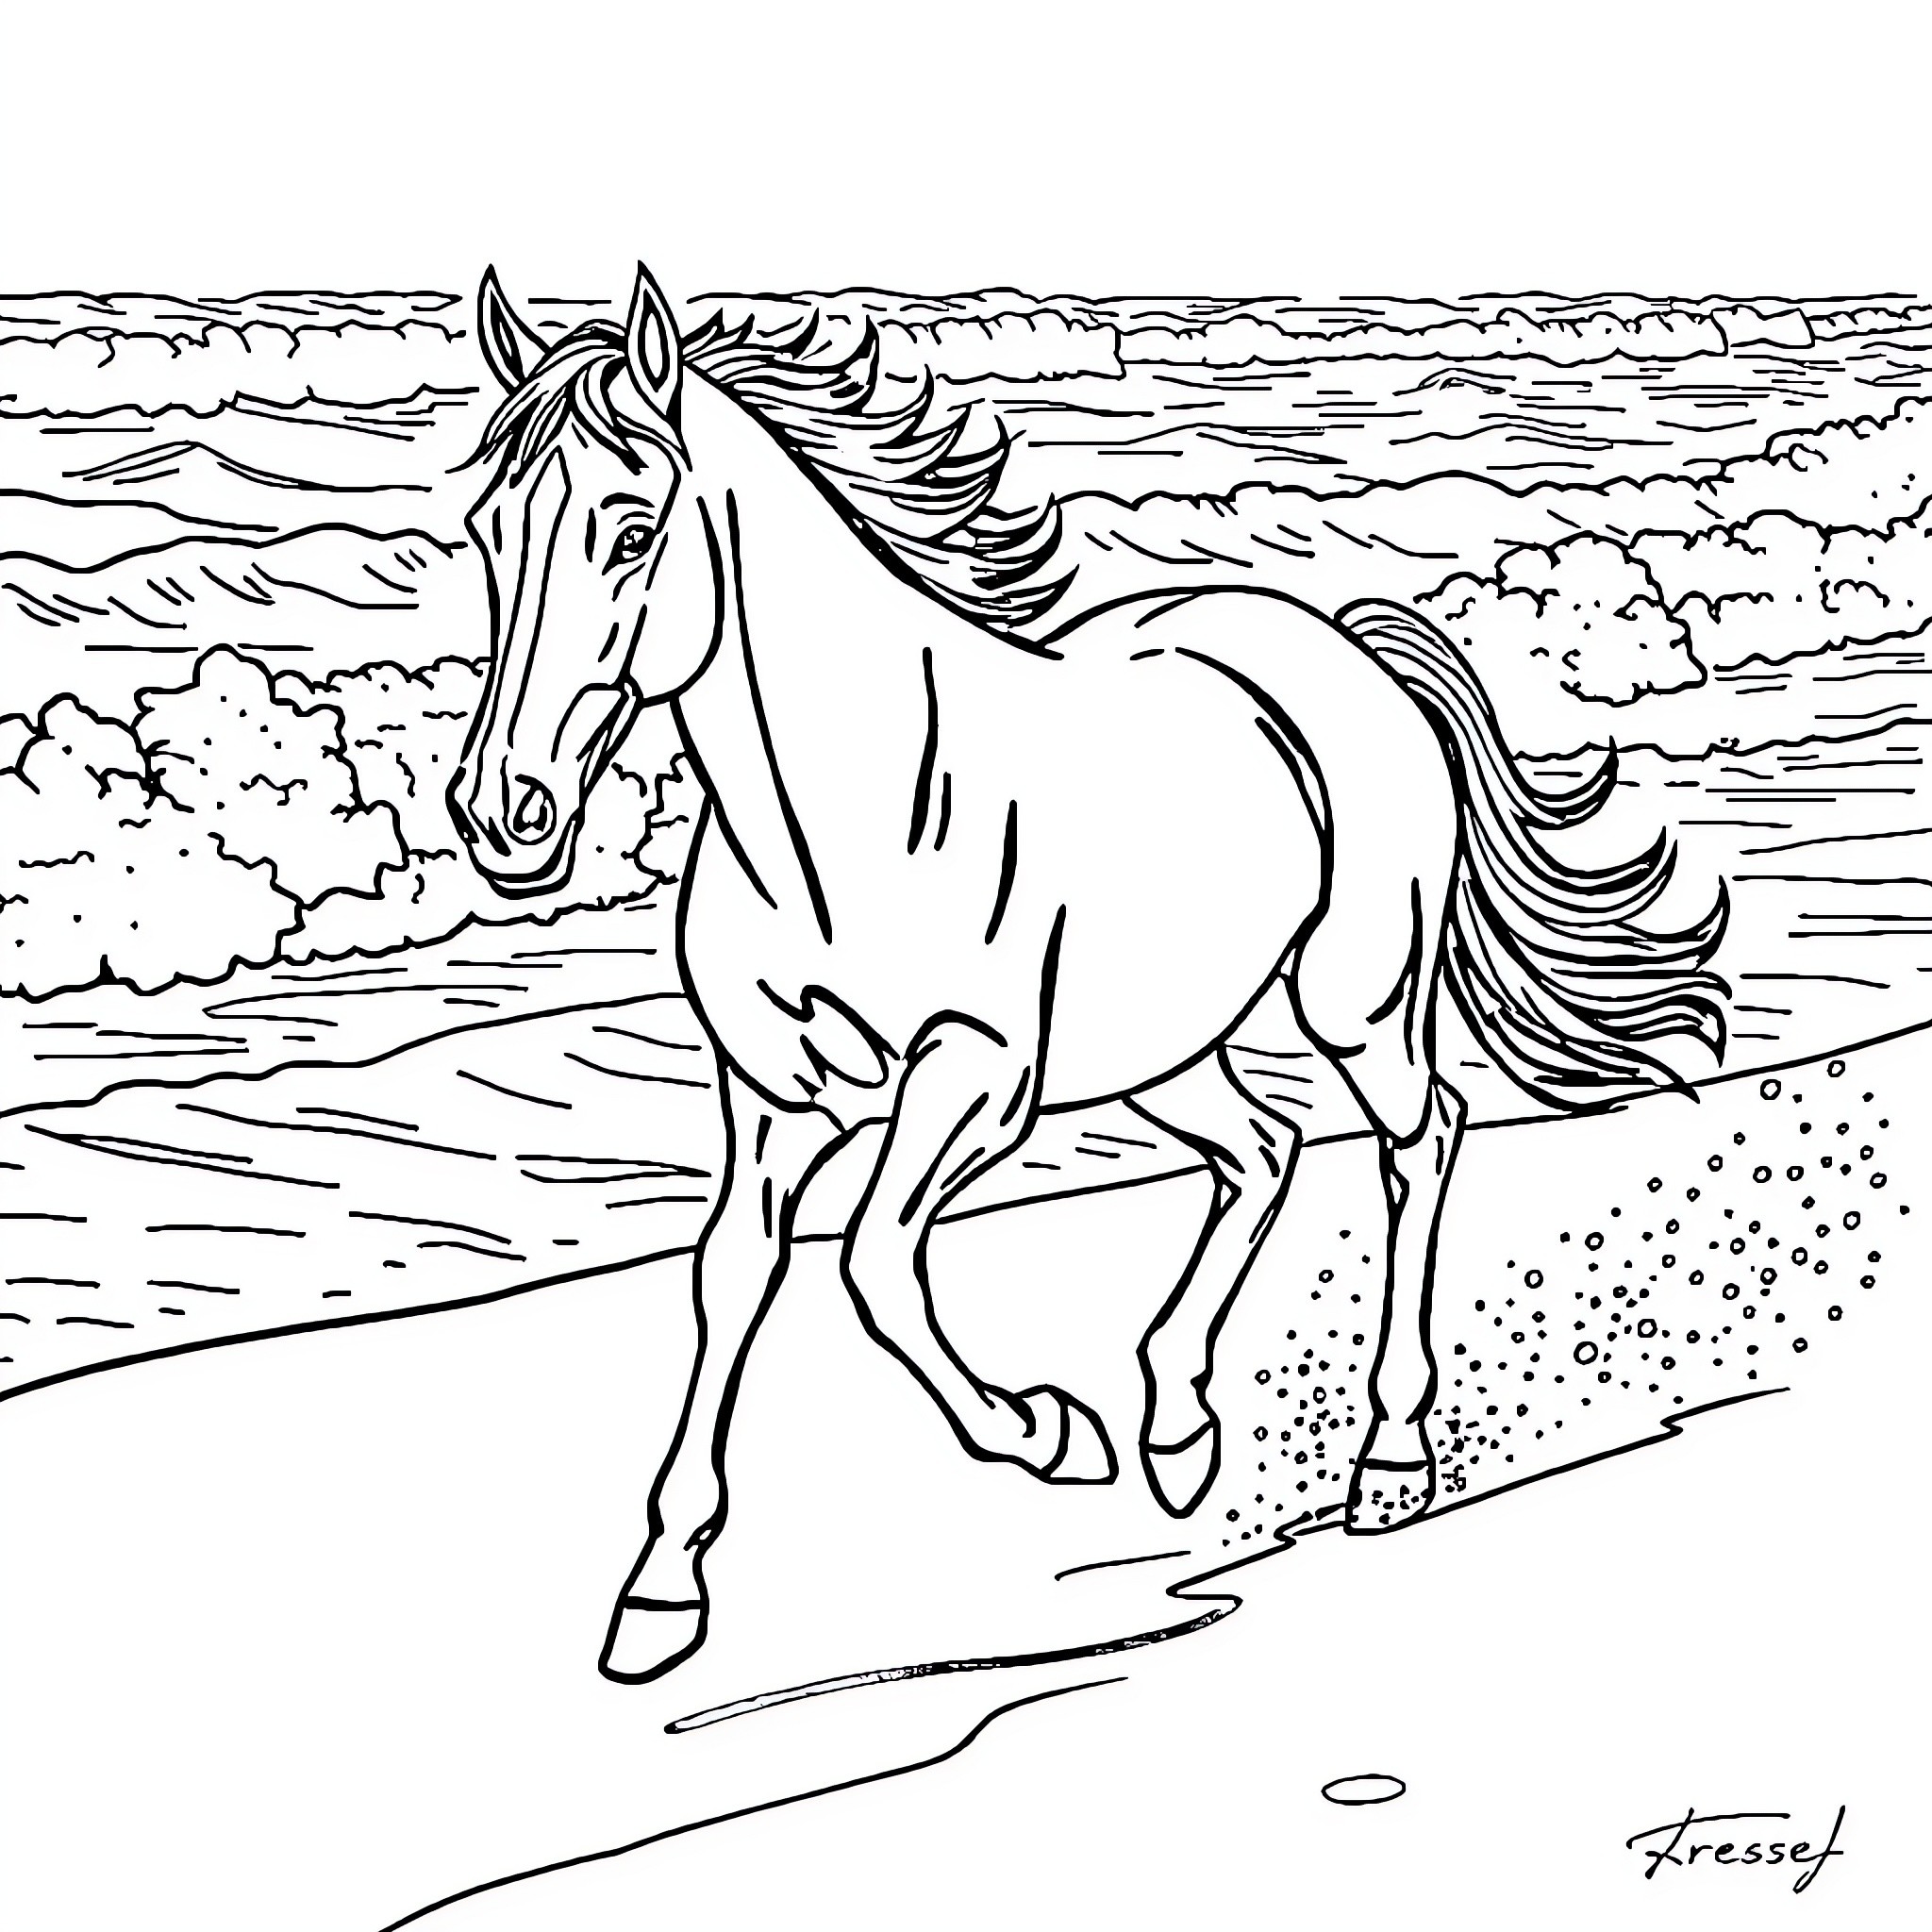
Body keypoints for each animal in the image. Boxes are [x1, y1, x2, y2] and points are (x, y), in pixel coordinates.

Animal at [449, 262, 1728, 1685]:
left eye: (628, 530)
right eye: (489, 529)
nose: (500, 813)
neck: (842, 817)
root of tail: (1337, 641)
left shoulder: (976, 1078)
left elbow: (876, 1260)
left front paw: (1044, 1430)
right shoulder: (771, 1092)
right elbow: (730, 1278)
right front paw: (662, 1593)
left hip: (1352, 1001)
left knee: (1418, 1136)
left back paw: (1386, 1462)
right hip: (1154, 1048)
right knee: (1262, 1148)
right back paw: (1176, 1428)